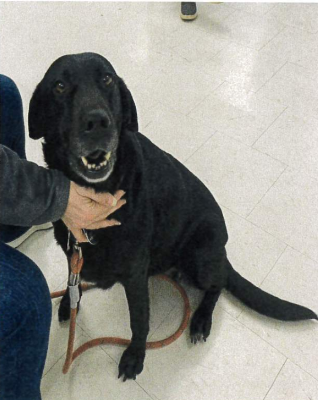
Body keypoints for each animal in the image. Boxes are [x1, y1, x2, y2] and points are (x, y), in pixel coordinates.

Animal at [29, 53, 316, 382]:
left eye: (107, 79)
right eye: (59, 86)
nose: (97, 122)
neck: (101, 194)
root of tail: (222, 254)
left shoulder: (134, 276)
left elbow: (140, 321)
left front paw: (135, 356)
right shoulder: (72, 249)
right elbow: (71, 278)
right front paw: (68, 301)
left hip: (201, 256)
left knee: (218, 283)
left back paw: (201, 320)